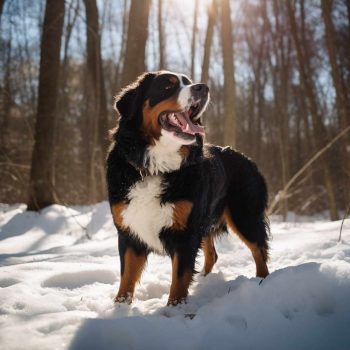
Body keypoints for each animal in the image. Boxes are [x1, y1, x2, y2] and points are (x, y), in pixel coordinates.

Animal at [105, 69, 270, 304]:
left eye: (189, 82)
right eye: (168, 86)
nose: (203, 87)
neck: (156, 169)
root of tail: (248, 160)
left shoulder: (185, 233)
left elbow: (179, 279)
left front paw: (174, 308)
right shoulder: (129, 233)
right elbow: (126, 278)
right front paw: (119, 307)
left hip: (244, 215)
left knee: (259, 251)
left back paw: (263, 284)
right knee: (213, 254)